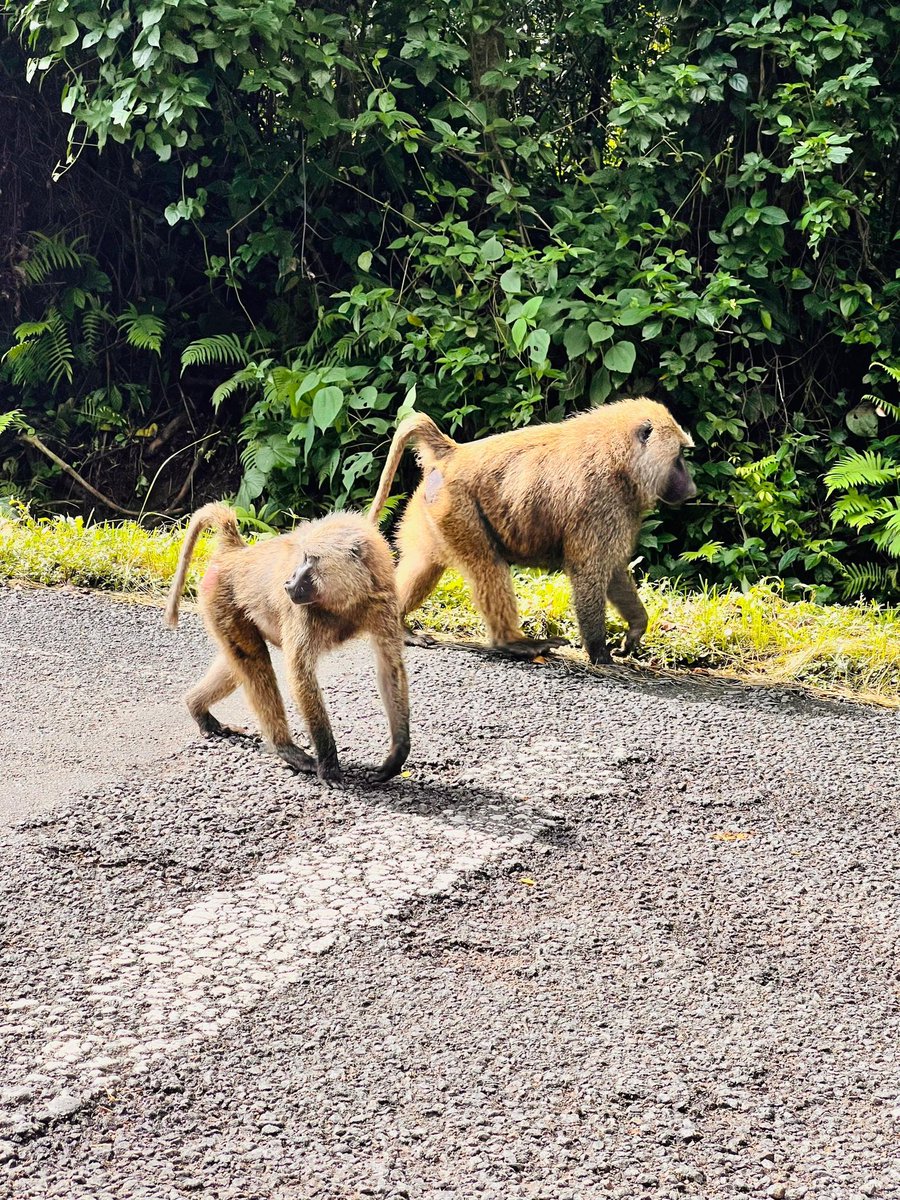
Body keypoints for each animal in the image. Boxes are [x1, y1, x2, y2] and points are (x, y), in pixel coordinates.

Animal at [164, 503, 410, 784]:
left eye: (311, 560)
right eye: (303, 557)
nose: (289, 583)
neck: (347, 599)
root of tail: (237, 553)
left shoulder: (383, 603)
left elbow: (390, 668)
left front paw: (396, 757)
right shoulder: (301, 613)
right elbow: (300, 672)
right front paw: (328, 764)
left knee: (239, 662)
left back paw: (197, 708)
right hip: (220, 600)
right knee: (255, 662)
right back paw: (285, 749)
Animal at [369, 397, 697, 666]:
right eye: (680, 455)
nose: (692, 489)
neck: (620, 458)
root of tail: (454, 453)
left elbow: (613, 571)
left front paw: (636, 628)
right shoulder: (601, 504)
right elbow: (589, 572)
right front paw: (599, 653)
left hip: (433, 510)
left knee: (426, 563)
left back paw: (400, 626)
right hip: (456, 509)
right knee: (487, 566)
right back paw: (513, 643)